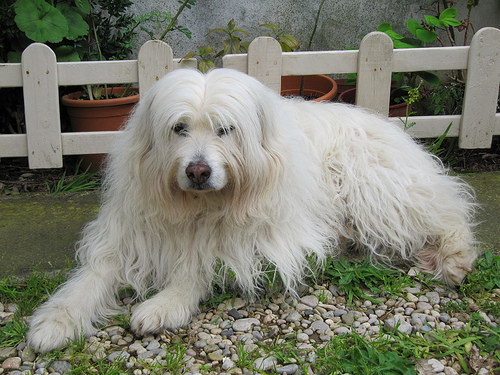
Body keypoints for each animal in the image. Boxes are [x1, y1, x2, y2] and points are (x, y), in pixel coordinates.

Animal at [26, 69, 476, 354]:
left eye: (225, 129)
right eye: (179, 128)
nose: (198, 170)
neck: (201, 206)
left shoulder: (266, 238)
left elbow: (201, 264)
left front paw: (165, 303)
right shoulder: (127, 237)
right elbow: (91, 278)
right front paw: (56, 321)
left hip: (374, 192)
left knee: (447, 214)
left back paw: (454, 257)